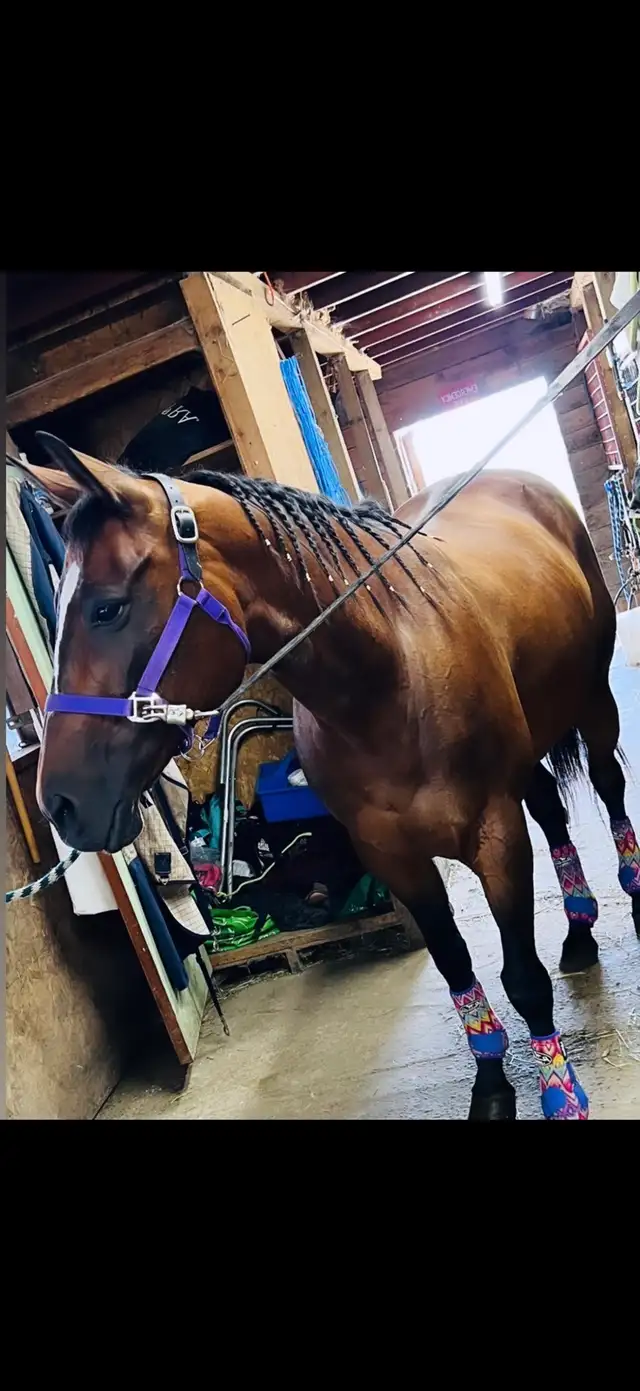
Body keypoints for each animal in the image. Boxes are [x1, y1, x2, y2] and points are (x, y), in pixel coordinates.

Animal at [26, 432, 640, 1121]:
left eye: (107, 608)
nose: (60, 803)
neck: (391, 678)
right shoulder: (395, 856)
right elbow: (455, 965)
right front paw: (490, 1086)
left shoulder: (496, 838)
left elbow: (524, 978)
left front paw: (561, 1095)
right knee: (552, 810)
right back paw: (580, 929)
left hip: (594, 708)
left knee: (610, 788)